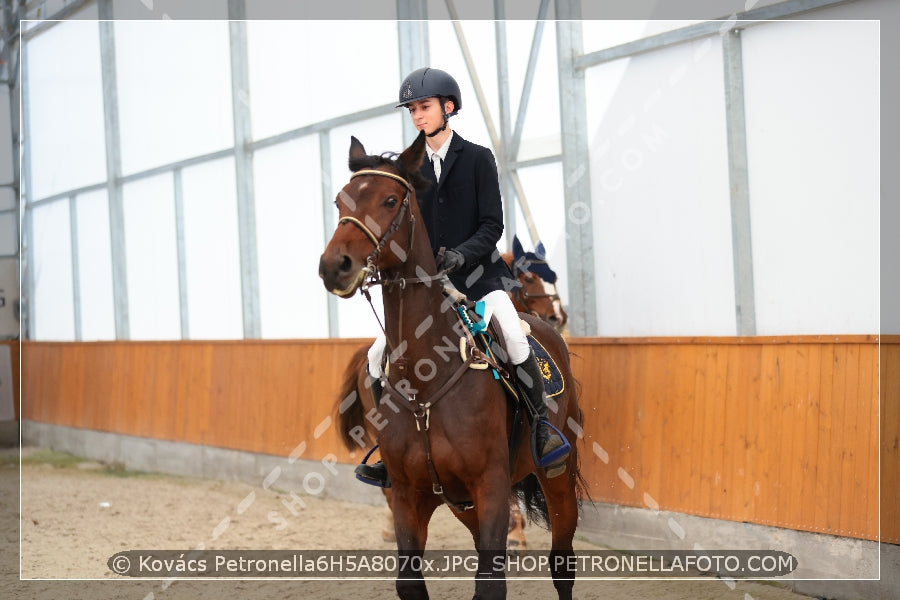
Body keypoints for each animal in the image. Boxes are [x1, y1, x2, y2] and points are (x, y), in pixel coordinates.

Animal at [320, 132, 588, 600]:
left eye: (391, 200)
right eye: (340, 202)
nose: (335, 266)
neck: (425, 382)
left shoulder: (491, 485)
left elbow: (491, 583)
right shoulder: (412, 494)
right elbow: (410, 581)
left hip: (556, 473)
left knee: (562, 562)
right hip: (458, 500)